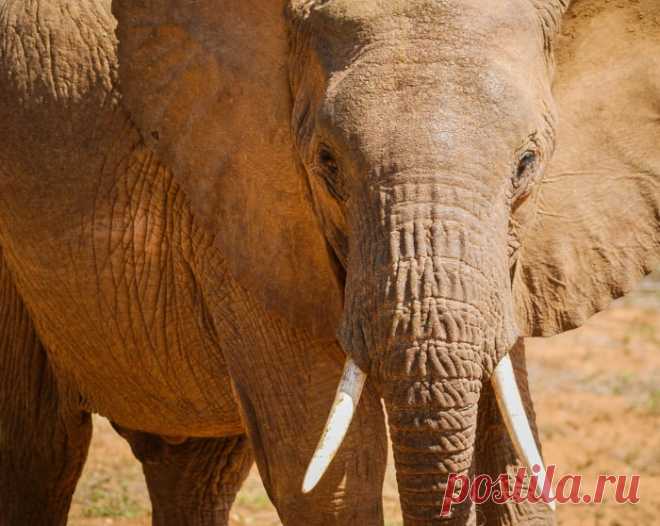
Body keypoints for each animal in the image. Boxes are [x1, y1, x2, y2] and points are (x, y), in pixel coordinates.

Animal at [0, 0, 658, 524]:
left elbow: (513, 447)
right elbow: (334, 478)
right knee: (39, 455)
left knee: (190, 470)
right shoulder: (245, 204)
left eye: (527, 164)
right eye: (327, 164)